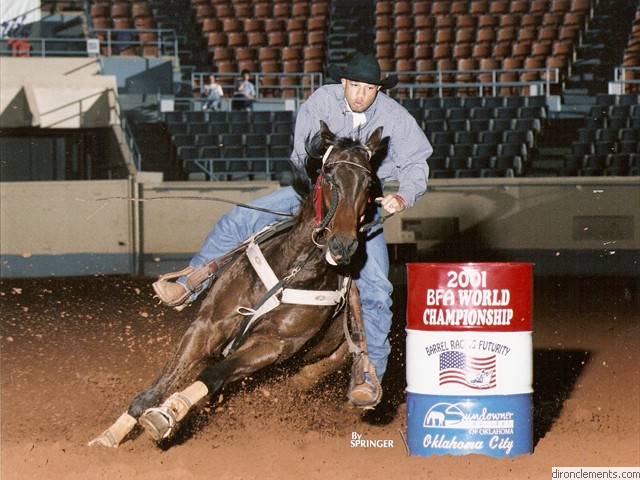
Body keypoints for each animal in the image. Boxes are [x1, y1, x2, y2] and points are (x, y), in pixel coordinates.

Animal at [89, 122, 384, 448]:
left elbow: (212, 374)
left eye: (369, 183)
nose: (343, 245)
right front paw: (110, 437)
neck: (290, 271)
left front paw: (169, 413)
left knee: (300, 381)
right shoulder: (207, 326)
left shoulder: (271, 345)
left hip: (329, 360)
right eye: (329, 173)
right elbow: (161, 384)